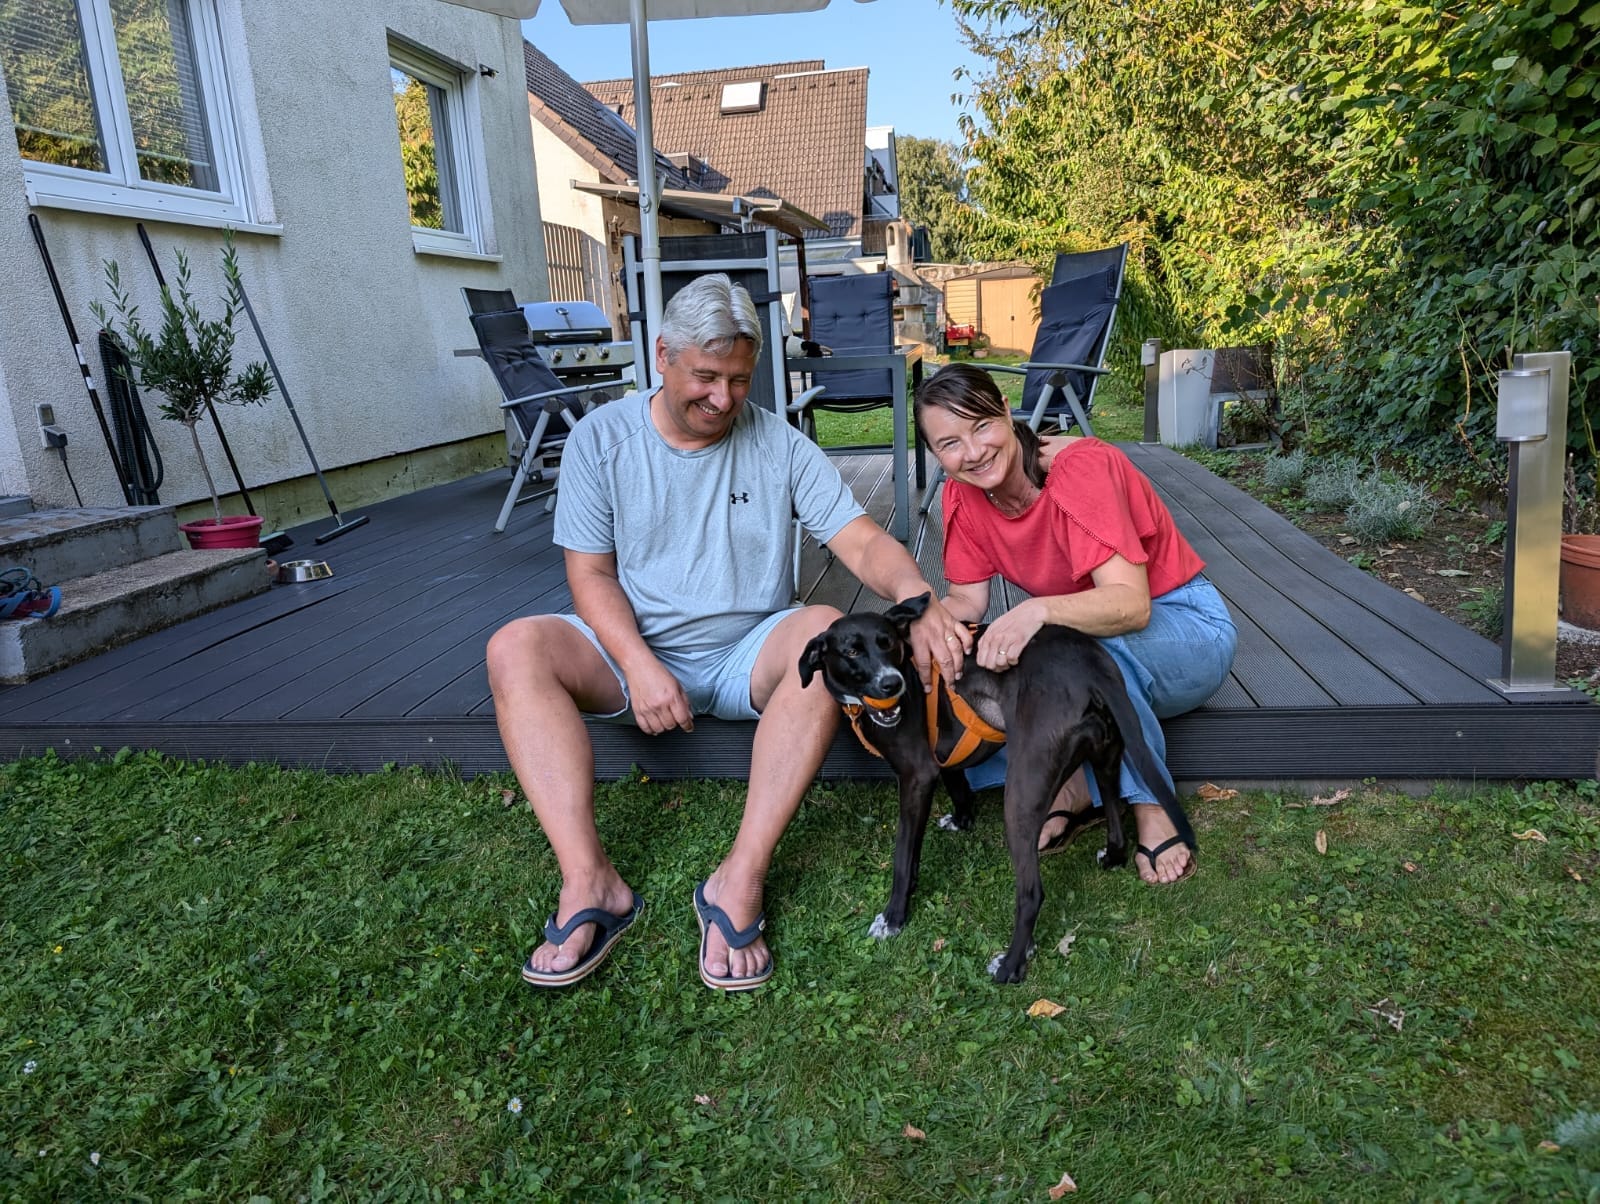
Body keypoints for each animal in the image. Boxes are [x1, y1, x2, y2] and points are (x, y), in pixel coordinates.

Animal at [798, 593, 1195, 983]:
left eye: (889, 644)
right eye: (851, 651)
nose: (892, 684)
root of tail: (1092, 665)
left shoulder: (915, 776)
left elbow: (902, 856)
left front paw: (894, 916)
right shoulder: (941, 761)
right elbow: (954, 791)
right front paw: (961, 822)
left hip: (1021, 793)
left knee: (1031, 893)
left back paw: (1011, 965)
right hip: (1107, 758)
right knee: (1114, 813)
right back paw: (1111, 857)